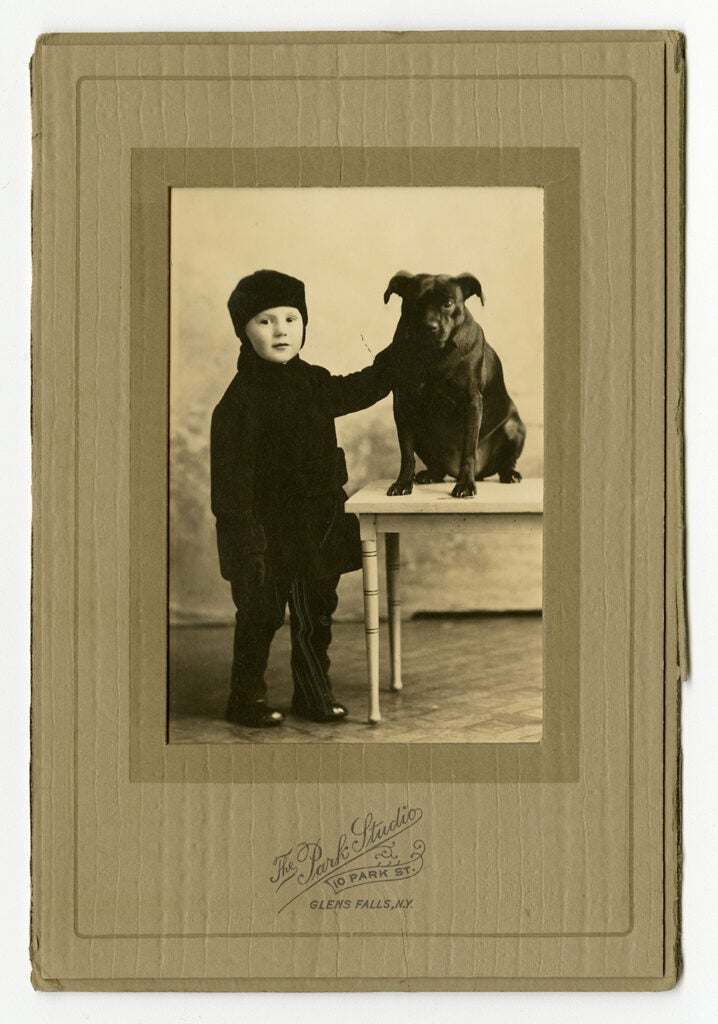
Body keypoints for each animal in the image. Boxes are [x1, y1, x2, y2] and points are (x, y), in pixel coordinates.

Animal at [383, 270, 524, 497]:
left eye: (448, 303)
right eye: (415, 303)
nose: (430, 327)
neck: (433, 354)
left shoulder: (472, 402)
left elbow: (468, 450)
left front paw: (465, 485)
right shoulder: (403, 403)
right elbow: (406, 452)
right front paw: (402, 483)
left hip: (514, 427)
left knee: (506, 460)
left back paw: (509, 474)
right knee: (436, 466)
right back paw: (429, 474)